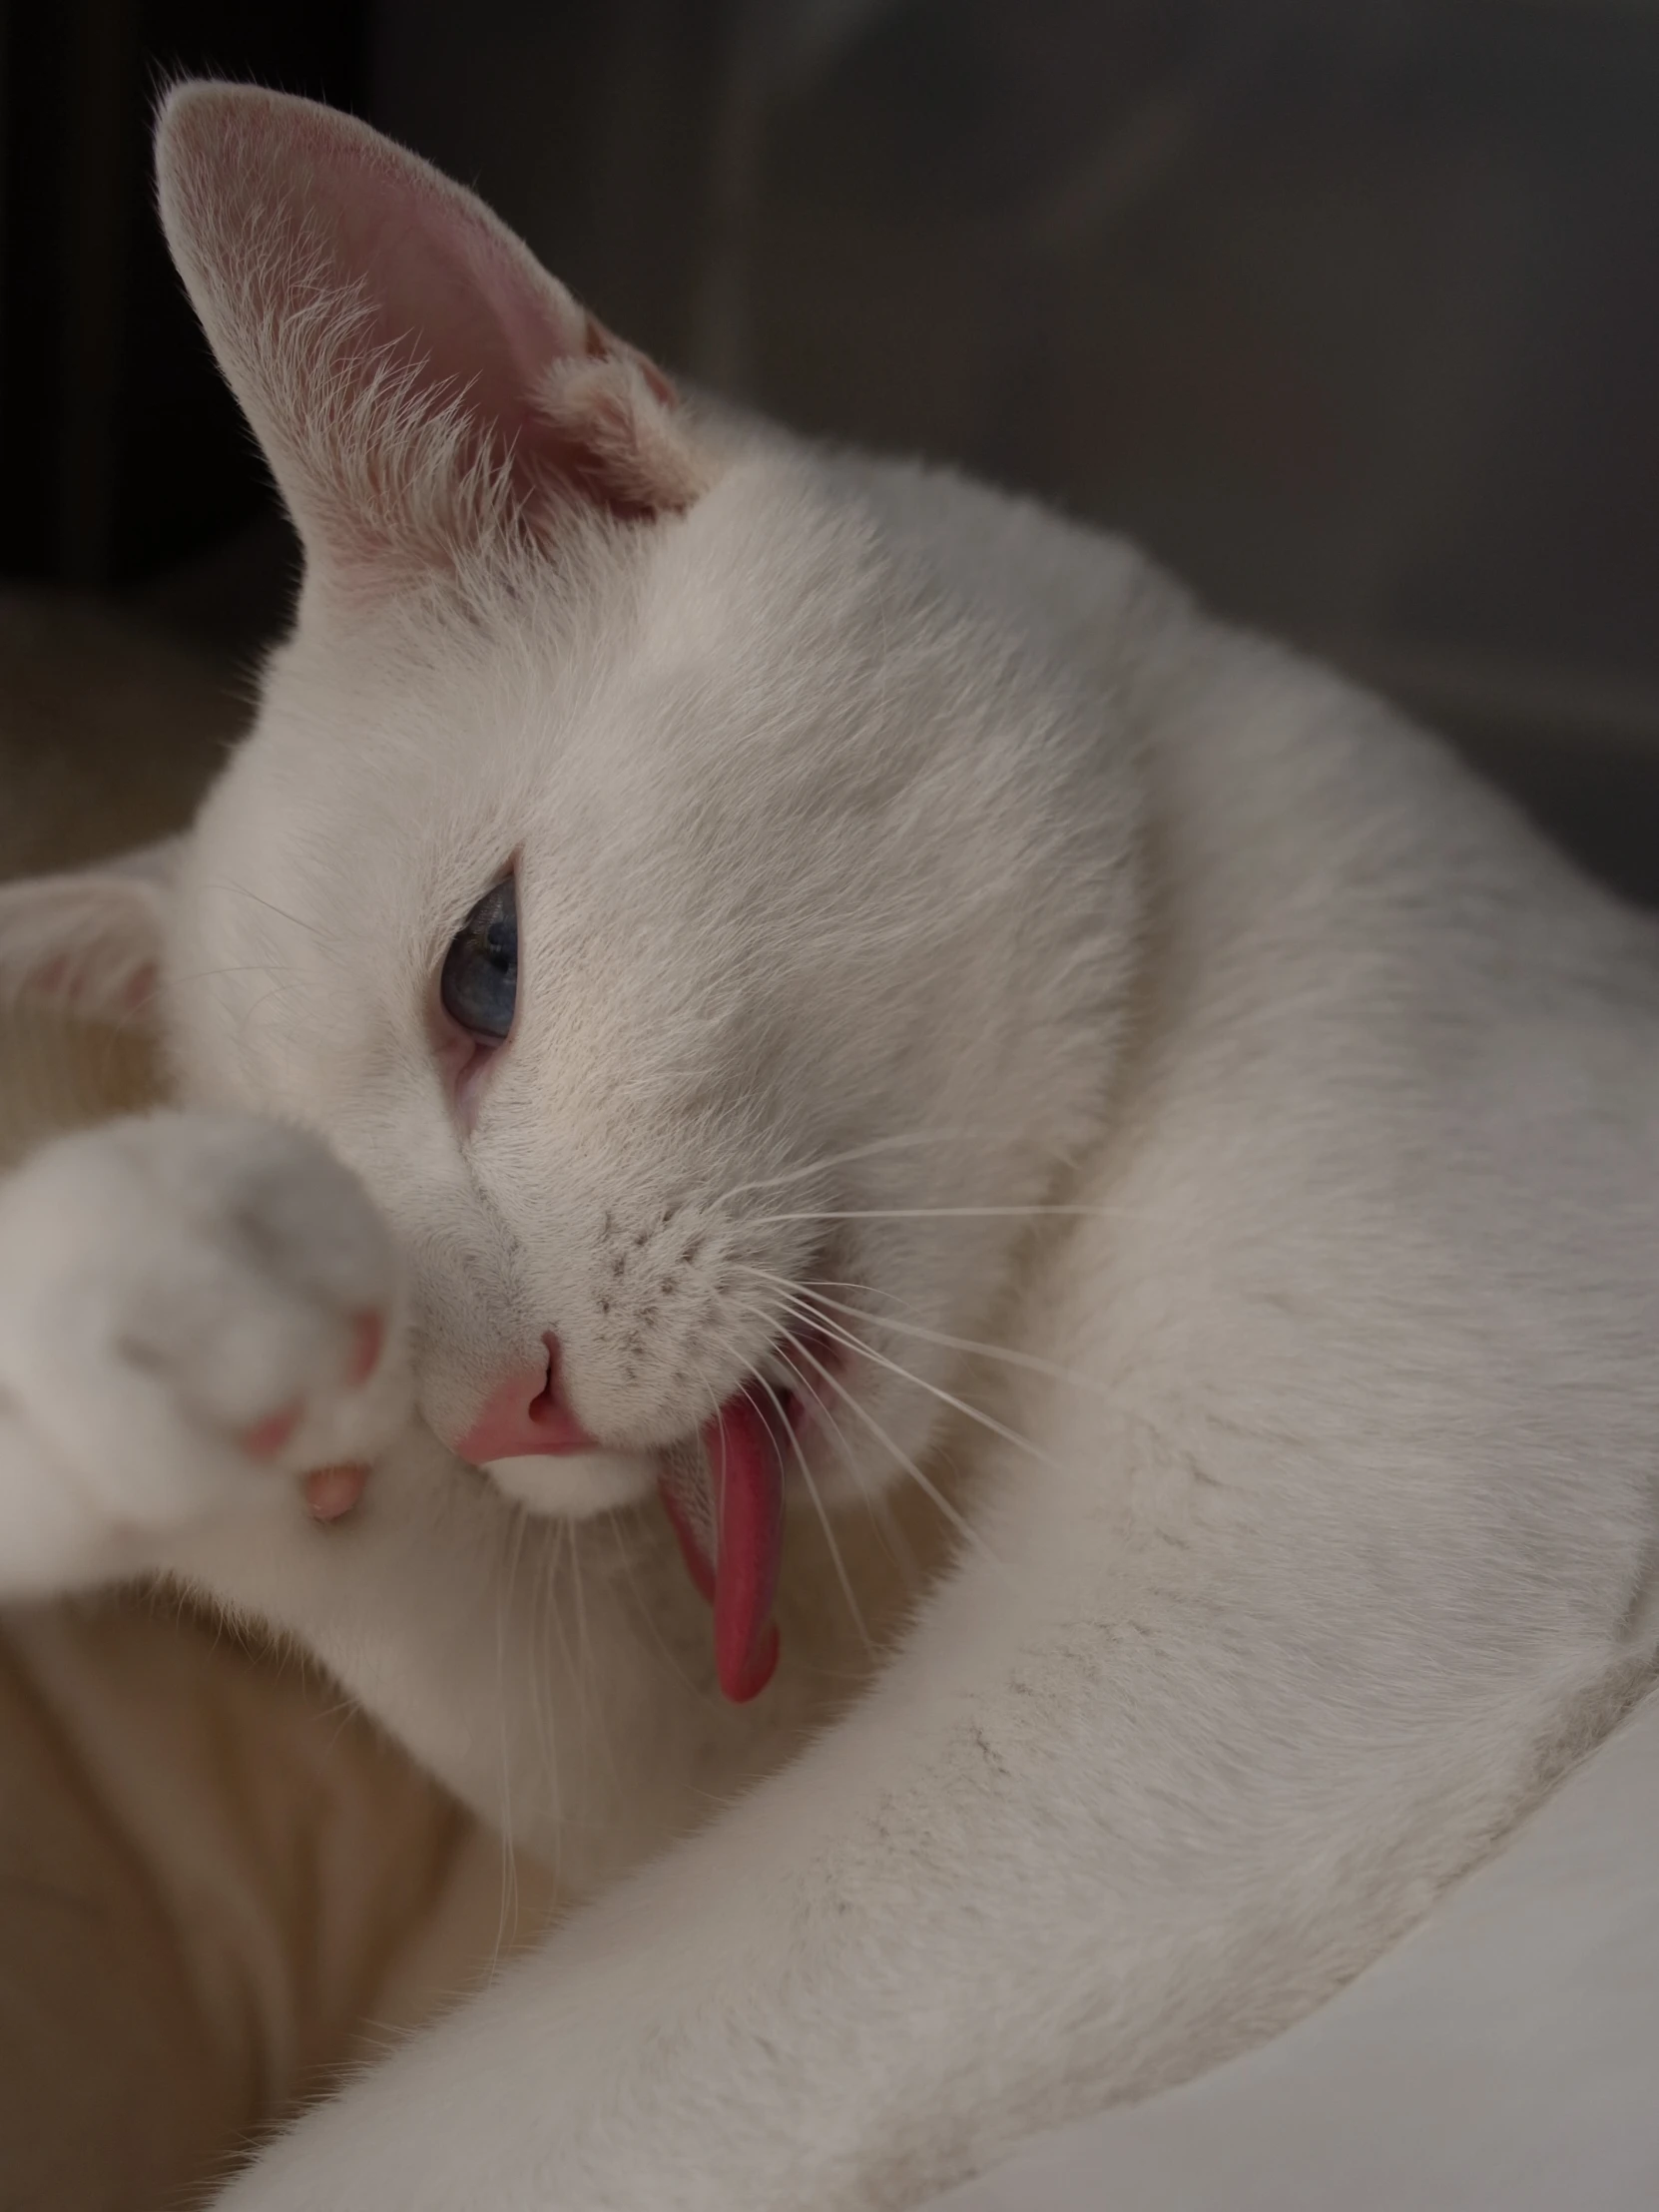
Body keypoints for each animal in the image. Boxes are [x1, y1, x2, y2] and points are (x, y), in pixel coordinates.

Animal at [3, 78, 1659, 2203]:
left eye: (486, 974)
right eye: (345, 1209)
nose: (500, 1416)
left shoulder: (1260, 1599)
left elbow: (502, 2120)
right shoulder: (732, 1753)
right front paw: (139, 1349)